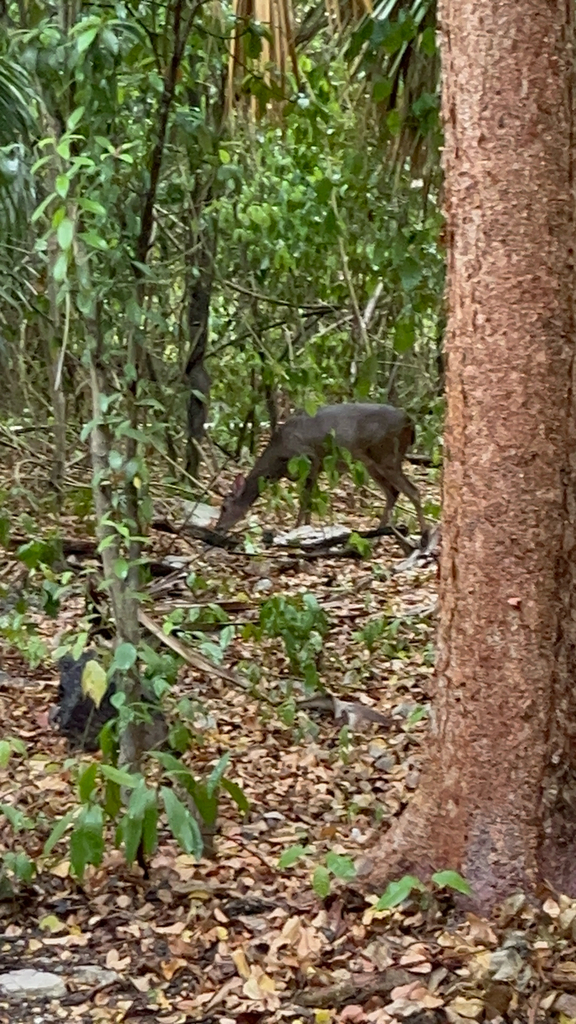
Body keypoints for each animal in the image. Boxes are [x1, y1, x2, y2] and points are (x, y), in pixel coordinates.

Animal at [216, 403, 428, 540]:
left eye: (224, 507)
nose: (218, 528)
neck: (279, 459)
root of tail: (410, 423)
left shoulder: (310, 459)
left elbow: (305, 499)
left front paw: (297, 528)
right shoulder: (314, 470)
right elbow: (309, 499)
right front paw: (306, 528)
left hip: (387, 456)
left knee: (413, 491)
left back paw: (424, 536)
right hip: (371, 463)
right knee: (393, 492)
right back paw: (379, 530)